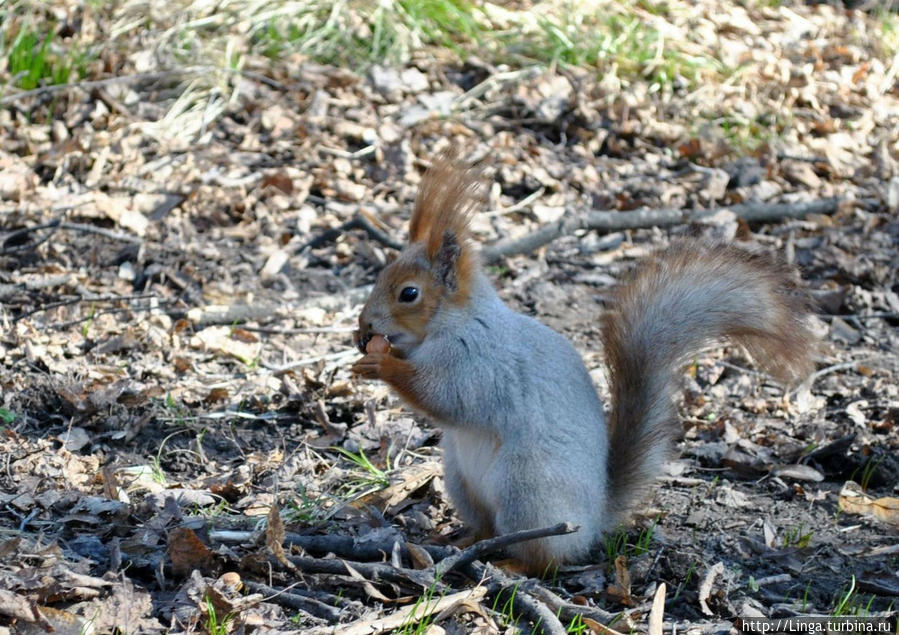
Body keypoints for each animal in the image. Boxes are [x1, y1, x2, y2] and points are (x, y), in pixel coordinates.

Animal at [352, 155, 816, 576]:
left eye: (409, 293)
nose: (365, 324)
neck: (452, 324)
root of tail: (594, 519)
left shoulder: (478, 363)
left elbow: (445, 397)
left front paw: (381, 364)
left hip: (527, 492)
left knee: (544, 558)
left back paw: (512, 565)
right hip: (461, 480)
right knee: (486, 528)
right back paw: (459, 539)